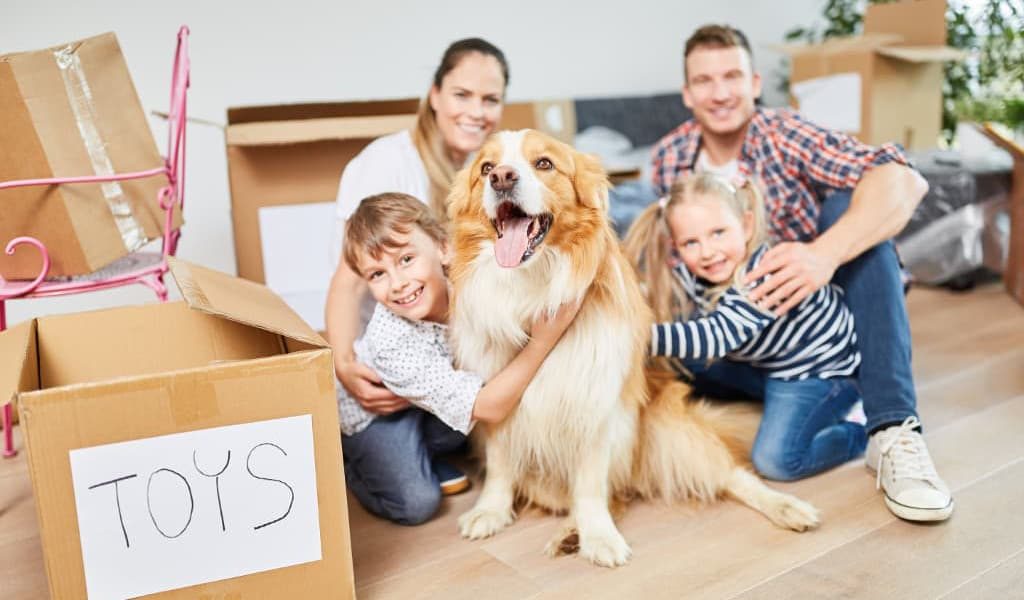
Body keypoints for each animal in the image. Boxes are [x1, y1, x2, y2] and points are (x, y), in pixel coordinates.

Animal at [444, 128, 819, 561]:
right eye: (486, 167)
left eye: (544, 163)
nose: (502, 178)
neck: (531, 290)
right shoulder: (496, 399)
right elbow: (501, 464)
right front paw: (491, 509)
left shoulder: (594, 405)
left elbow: (590, 483)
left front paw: (599, 536)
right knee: (614, 495)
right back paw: (569, 532)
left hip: (667, 429)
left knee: (729, 475)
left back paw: (787, 506)